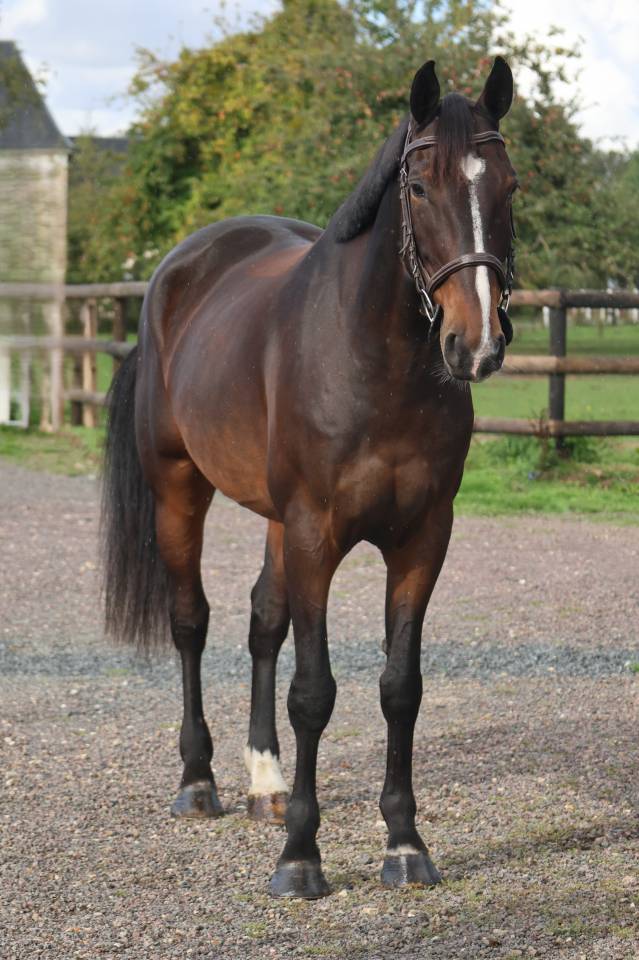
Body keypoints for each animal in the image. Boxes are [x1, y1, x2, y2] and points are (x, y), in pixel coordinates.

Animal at [101, 56, 517, 899]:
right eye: (416, 185)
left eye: (509, 187)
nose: (476, 345)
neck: (373, 362)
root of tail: (174, 274)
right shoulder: (315, 534)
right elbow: (314, 692)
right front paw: (300, 857)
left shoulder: (422, 537)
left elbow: (399, 688)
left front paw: (403, 845)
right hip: (179, 491)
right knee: (191, 622)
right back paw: (199, 782)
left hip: (271, 518)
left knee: (263, 620)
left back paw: (264, 784)